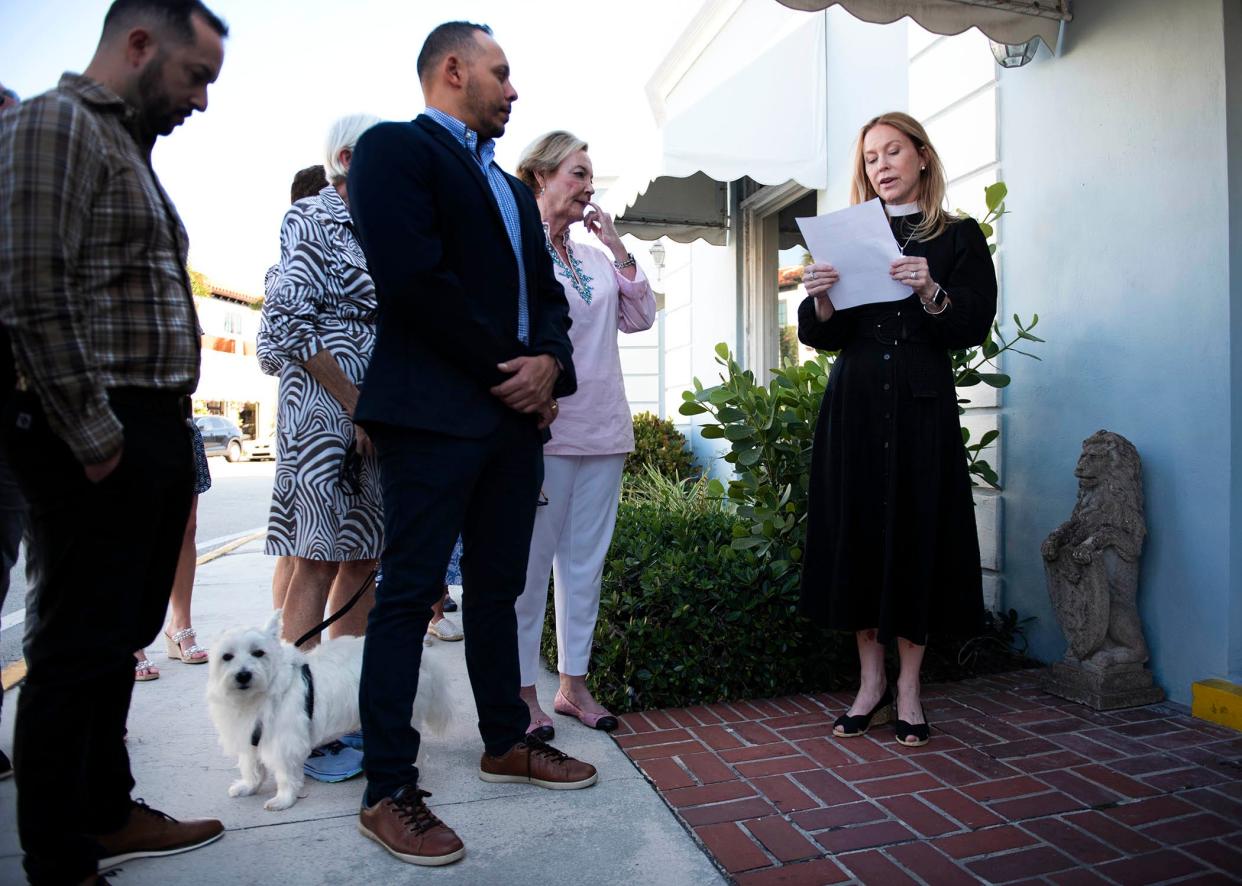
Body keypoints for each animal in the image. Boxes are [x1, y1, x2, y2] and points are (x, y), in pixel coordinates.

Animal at [208, 608, 452, 810]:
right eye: (227, 657)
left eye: (258, 653)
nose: (243, 675)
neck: (256, 696)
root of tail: (419, 657)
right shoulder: (247, 738)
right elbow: (250, 768)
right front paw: (248, 787)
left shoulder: (284, 743)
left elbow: (285, 774)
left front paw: (284, 799)